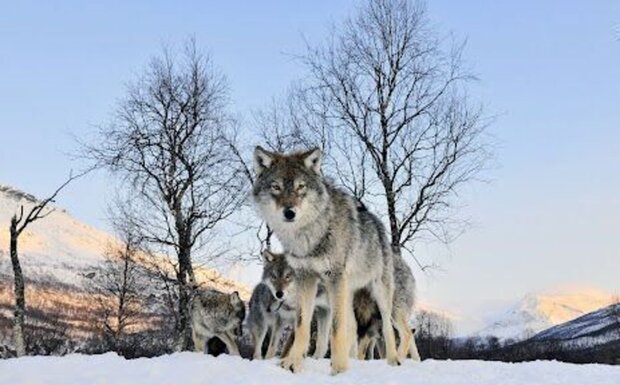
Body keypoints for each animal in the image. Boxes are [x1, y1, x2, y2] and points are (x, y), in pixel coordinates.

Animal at [254, 146, 400, 374]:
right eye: (276, 187)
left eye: (301, 187)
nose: (289, 212)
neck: (309, 236)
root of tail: (376, 222)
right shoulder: (305, 278)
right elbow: (302, 326)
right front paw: (293, 363)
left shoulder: (334, 277)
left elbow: (336, 329)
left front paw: (339, 369)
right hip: (345, 293)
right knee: (353, 327)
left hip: (378, 293)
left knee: (386, 327)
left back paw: (393, 361)